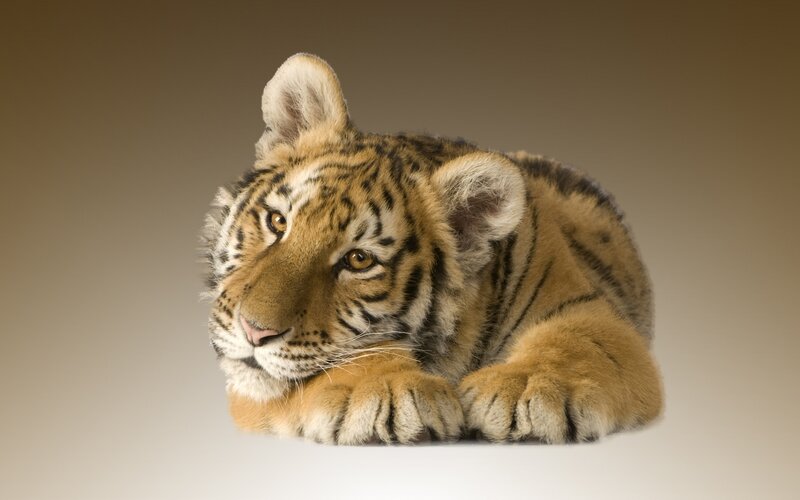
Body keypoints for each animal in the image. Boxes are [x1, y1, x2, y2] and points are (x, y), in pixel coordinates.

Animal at [202, 53, 663, 445]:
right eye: (277, 222)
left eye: (359, 259)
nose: (254, 332)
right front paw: (390, 389)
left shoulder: (593, 312)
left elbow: (578, 343)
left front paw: (526, 387)